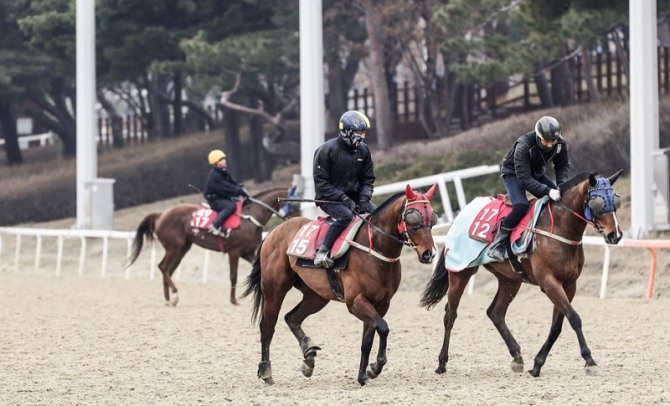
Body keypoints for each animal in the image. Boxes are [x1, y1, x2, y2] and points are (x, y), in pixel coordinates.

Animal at [127, 186, 300, 304]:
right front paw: (234, 300)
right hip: (174, 248)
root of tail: (160, 215)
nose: (298, 222)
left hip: (182, 248)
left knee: (167, 269)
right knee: (163, 267)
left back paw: (168, 299)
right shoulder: (234, 252)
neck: (250, 217)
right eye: (294, 205)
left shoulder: (248, 252)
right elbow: (233, 276)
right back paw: (174, 296)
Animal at [244, 186, 444, 386]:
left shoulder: (381, 304)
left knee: (292, 318)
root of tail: (273, 232)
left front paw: (363, 375)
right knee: (267, 327)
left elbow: (368, 340)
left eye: (432, 217)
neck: (374, 250)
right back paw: (266, 371)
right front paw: (375, 367)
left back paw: (309, 357)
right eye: (413, 217)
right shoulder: (356, 302)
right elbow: (383, 327)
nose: (429, 254)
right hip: (274, 289)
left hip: (316, 296)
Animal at [422, 170, 628, 378]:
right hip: (460, 272)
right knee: (450, 315)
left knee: (495, 313)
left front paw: (537, 364)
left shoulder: (569, 284)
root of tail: (460, 214)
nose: (615, 235)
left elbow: (557, 325)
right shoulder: (549, 282)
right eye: (597, 202)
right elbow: (574, 318)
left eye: (615, 200)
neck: (559, 228)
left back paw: (517, 357)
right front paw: (589, 360)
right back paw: (442, 362)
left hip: (510, 280)